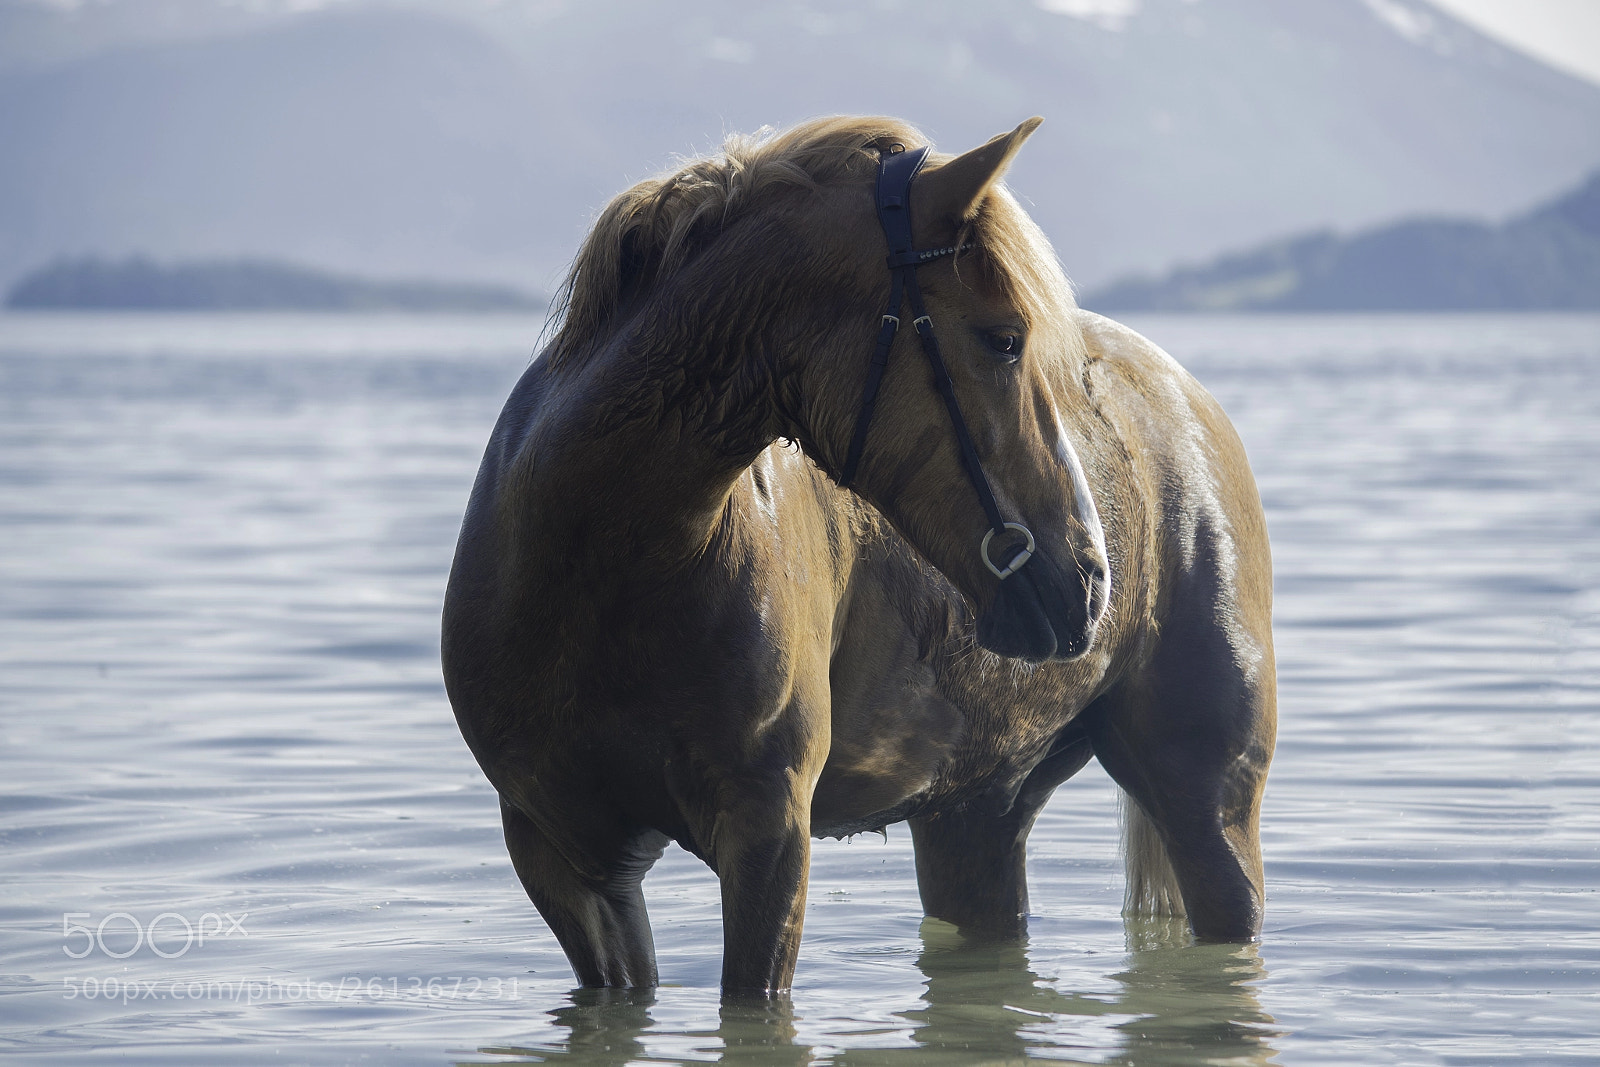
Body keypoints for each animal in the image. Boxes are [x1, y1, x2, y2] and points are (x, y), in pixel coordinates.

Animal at [441, 115, 1273, 991]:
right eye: (1005, 339)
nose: (1088, 579)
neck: (601, 569)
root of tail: (1188, 397)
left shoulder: (768, 835)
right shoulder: (566, 861)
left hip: (1207, 803)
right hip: (974, 814)